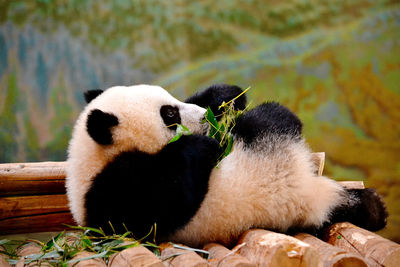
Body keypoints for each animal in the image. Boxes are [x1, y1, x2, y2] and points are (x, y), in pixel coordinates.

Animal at [65, 85, 388, 248]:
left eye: (172, 98)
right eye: (169, 114)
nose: (202, 118)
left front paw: (224, 96)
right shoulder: (111, 196)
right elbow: (163, 203)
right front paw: (201, 145)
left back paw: (374, 209)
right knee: (270, 119)